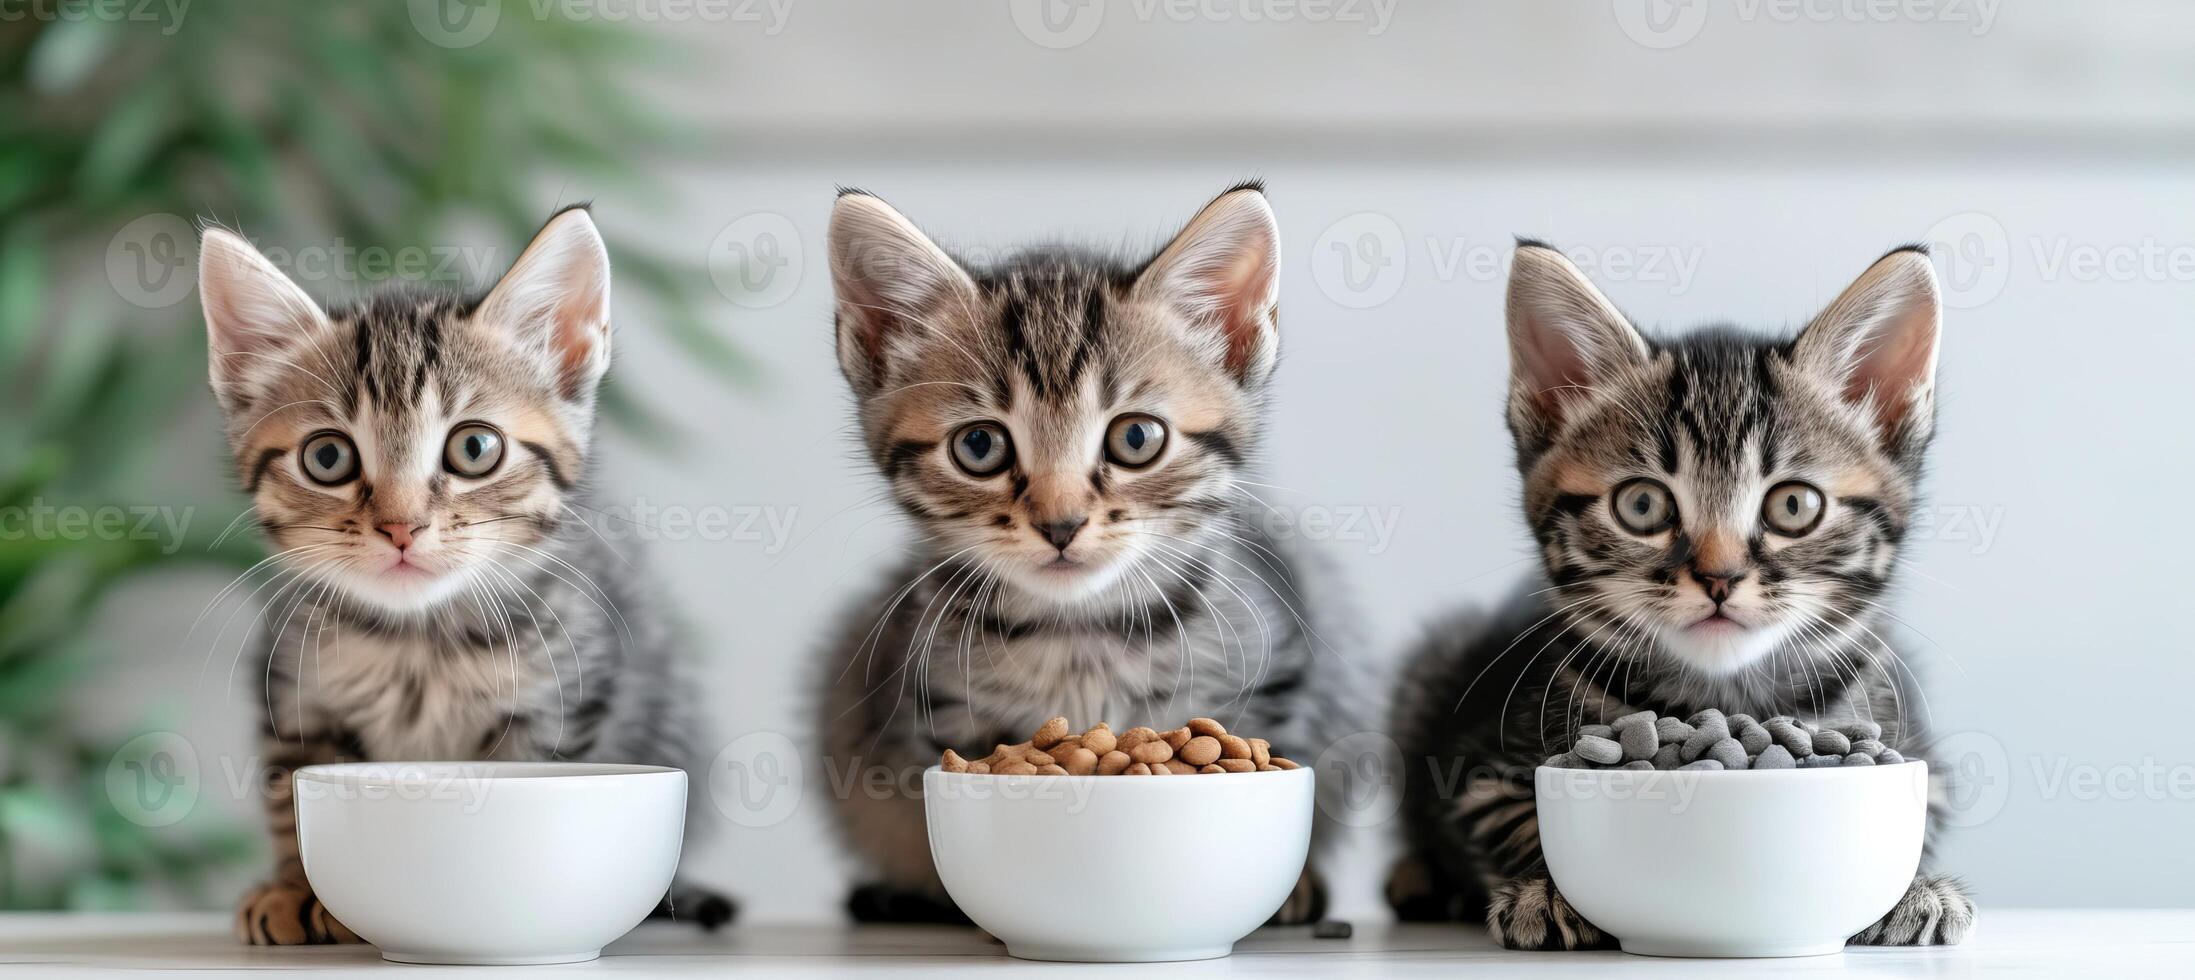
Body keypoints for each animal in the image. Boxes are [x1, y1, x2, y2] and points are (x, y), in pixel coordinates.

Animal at [199, 210, 728, 944]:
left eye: (474, 448)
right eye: (327, 457)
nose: (401, 527)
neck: (418, 641)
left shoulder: (560, 706)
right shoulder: (294, 695)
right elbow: (291, 790)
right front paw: (294, 888)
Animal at [812, 185, 1352, 927]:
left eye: (1136, 438)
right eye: (979, 446)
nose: (1060, 524)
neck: (1079, 636)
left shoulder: (1281, 667)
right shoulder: (937, 705)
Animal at [1396, 242, 1984, 949]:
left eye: (1794, 505)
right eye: (1642, 505)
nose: (1719, 578)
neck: (1724, 694)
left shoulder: (1922, 760)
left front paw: (1911, 890)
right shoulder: (1473, 777)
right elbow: (1521, 819)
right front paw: (1548, 893)